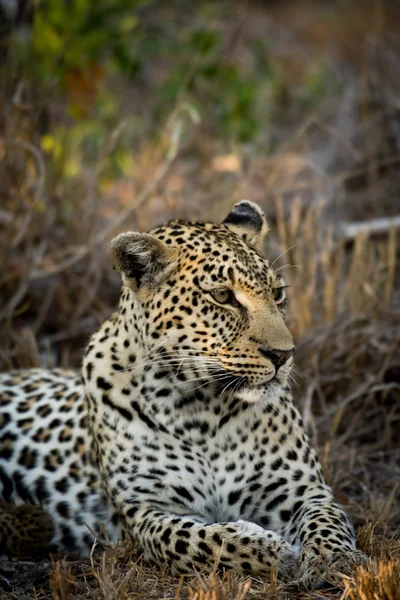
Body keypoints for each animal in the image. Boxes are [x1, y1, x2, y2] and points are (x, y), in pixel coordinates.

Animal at [0, 202, 368, 584]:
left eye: (278, 293)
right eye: (223, 296)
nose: (284, 355)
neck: (201, 407)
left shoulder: (302, 488)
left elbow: (327, 520)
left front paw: (335, 559)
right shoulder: (147, 511)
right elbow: (201, 540)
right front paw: (274, 552)